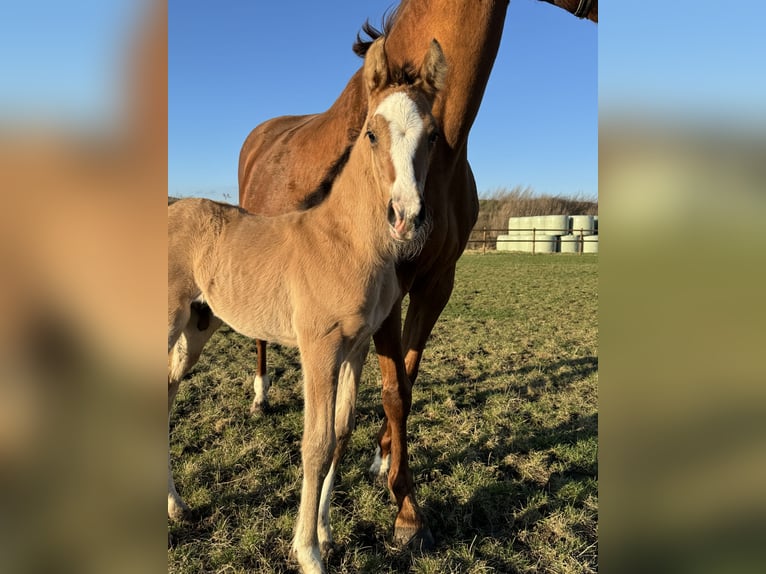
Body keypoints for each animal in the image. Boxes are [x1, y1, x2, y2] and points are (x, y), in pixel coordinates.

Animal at [165, 38, 448, 572]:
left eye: (435, 137)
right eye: (371, 133)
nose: (406, 217)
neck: (345, 242)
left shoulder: (355, 348)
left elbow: (341, 432)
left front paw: (327, 534)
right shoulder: (318, 349)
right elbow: (315, 445)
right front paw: (308, 553)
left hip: (197, 325)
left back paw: (176, 506)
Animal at [237, 0, 596, 548]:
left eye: (432, 137)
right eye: (370, 134)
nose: (406, 217)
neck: (447, 155)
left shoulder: (437, 282)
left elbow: (406, 378)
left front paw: (386, 465)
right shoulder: (388, 288)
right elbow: (392, 391)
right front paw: (405, 510)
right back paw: (260, 397)